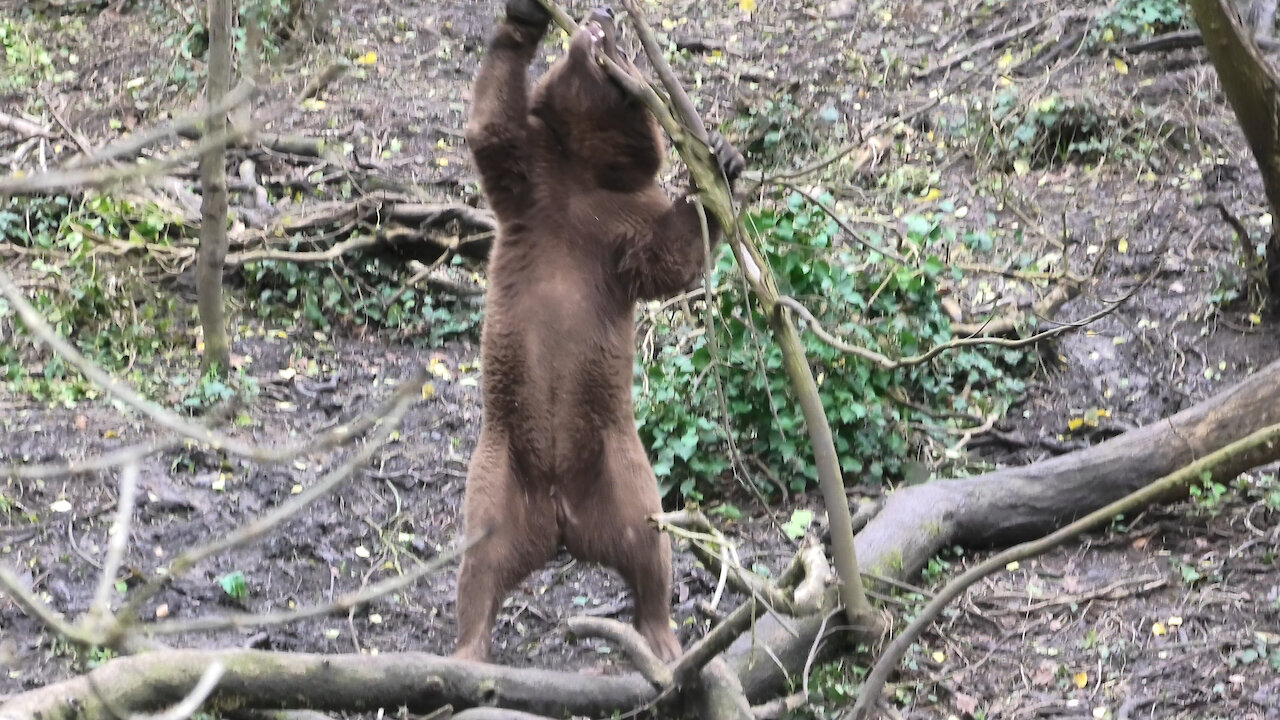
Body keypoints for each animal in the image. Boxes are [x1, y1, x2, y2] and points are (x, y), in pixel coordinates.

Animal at [453, 0, 747, 666]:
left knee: (649, 550)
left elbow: (669, 259)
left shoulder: (620, 225)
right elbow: (493, 129)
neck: (580, 175)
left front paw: (721, 163)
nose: (605, 14)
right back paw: (467, 649)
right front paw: (523, 18)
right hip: (499, 471)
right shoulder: (535, 189)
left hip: (620, 470)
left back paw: (662, 636)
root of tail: (561, 525)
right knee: (478, 564)